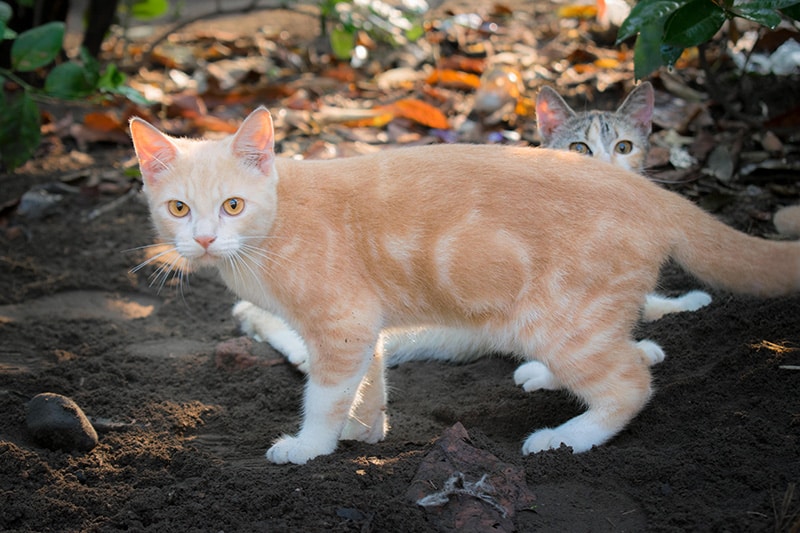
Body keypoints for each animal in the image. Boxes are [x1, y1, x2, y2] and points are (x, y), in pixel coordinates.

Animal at [131, 107, 800, 462]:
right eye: (180, 209)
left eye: (234, 205)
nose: (205, 241)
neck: (277, 220)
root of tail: (651, 192)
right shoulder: (364, 326)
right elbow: (369, 384)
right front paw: (363, 432)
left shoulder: (341, 324)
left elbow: (322, 395)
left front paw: (311, 447)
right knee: (636, 349)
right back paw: (551, 378)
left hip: (560, 318)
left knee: (630, 383)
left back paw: (566, 438)